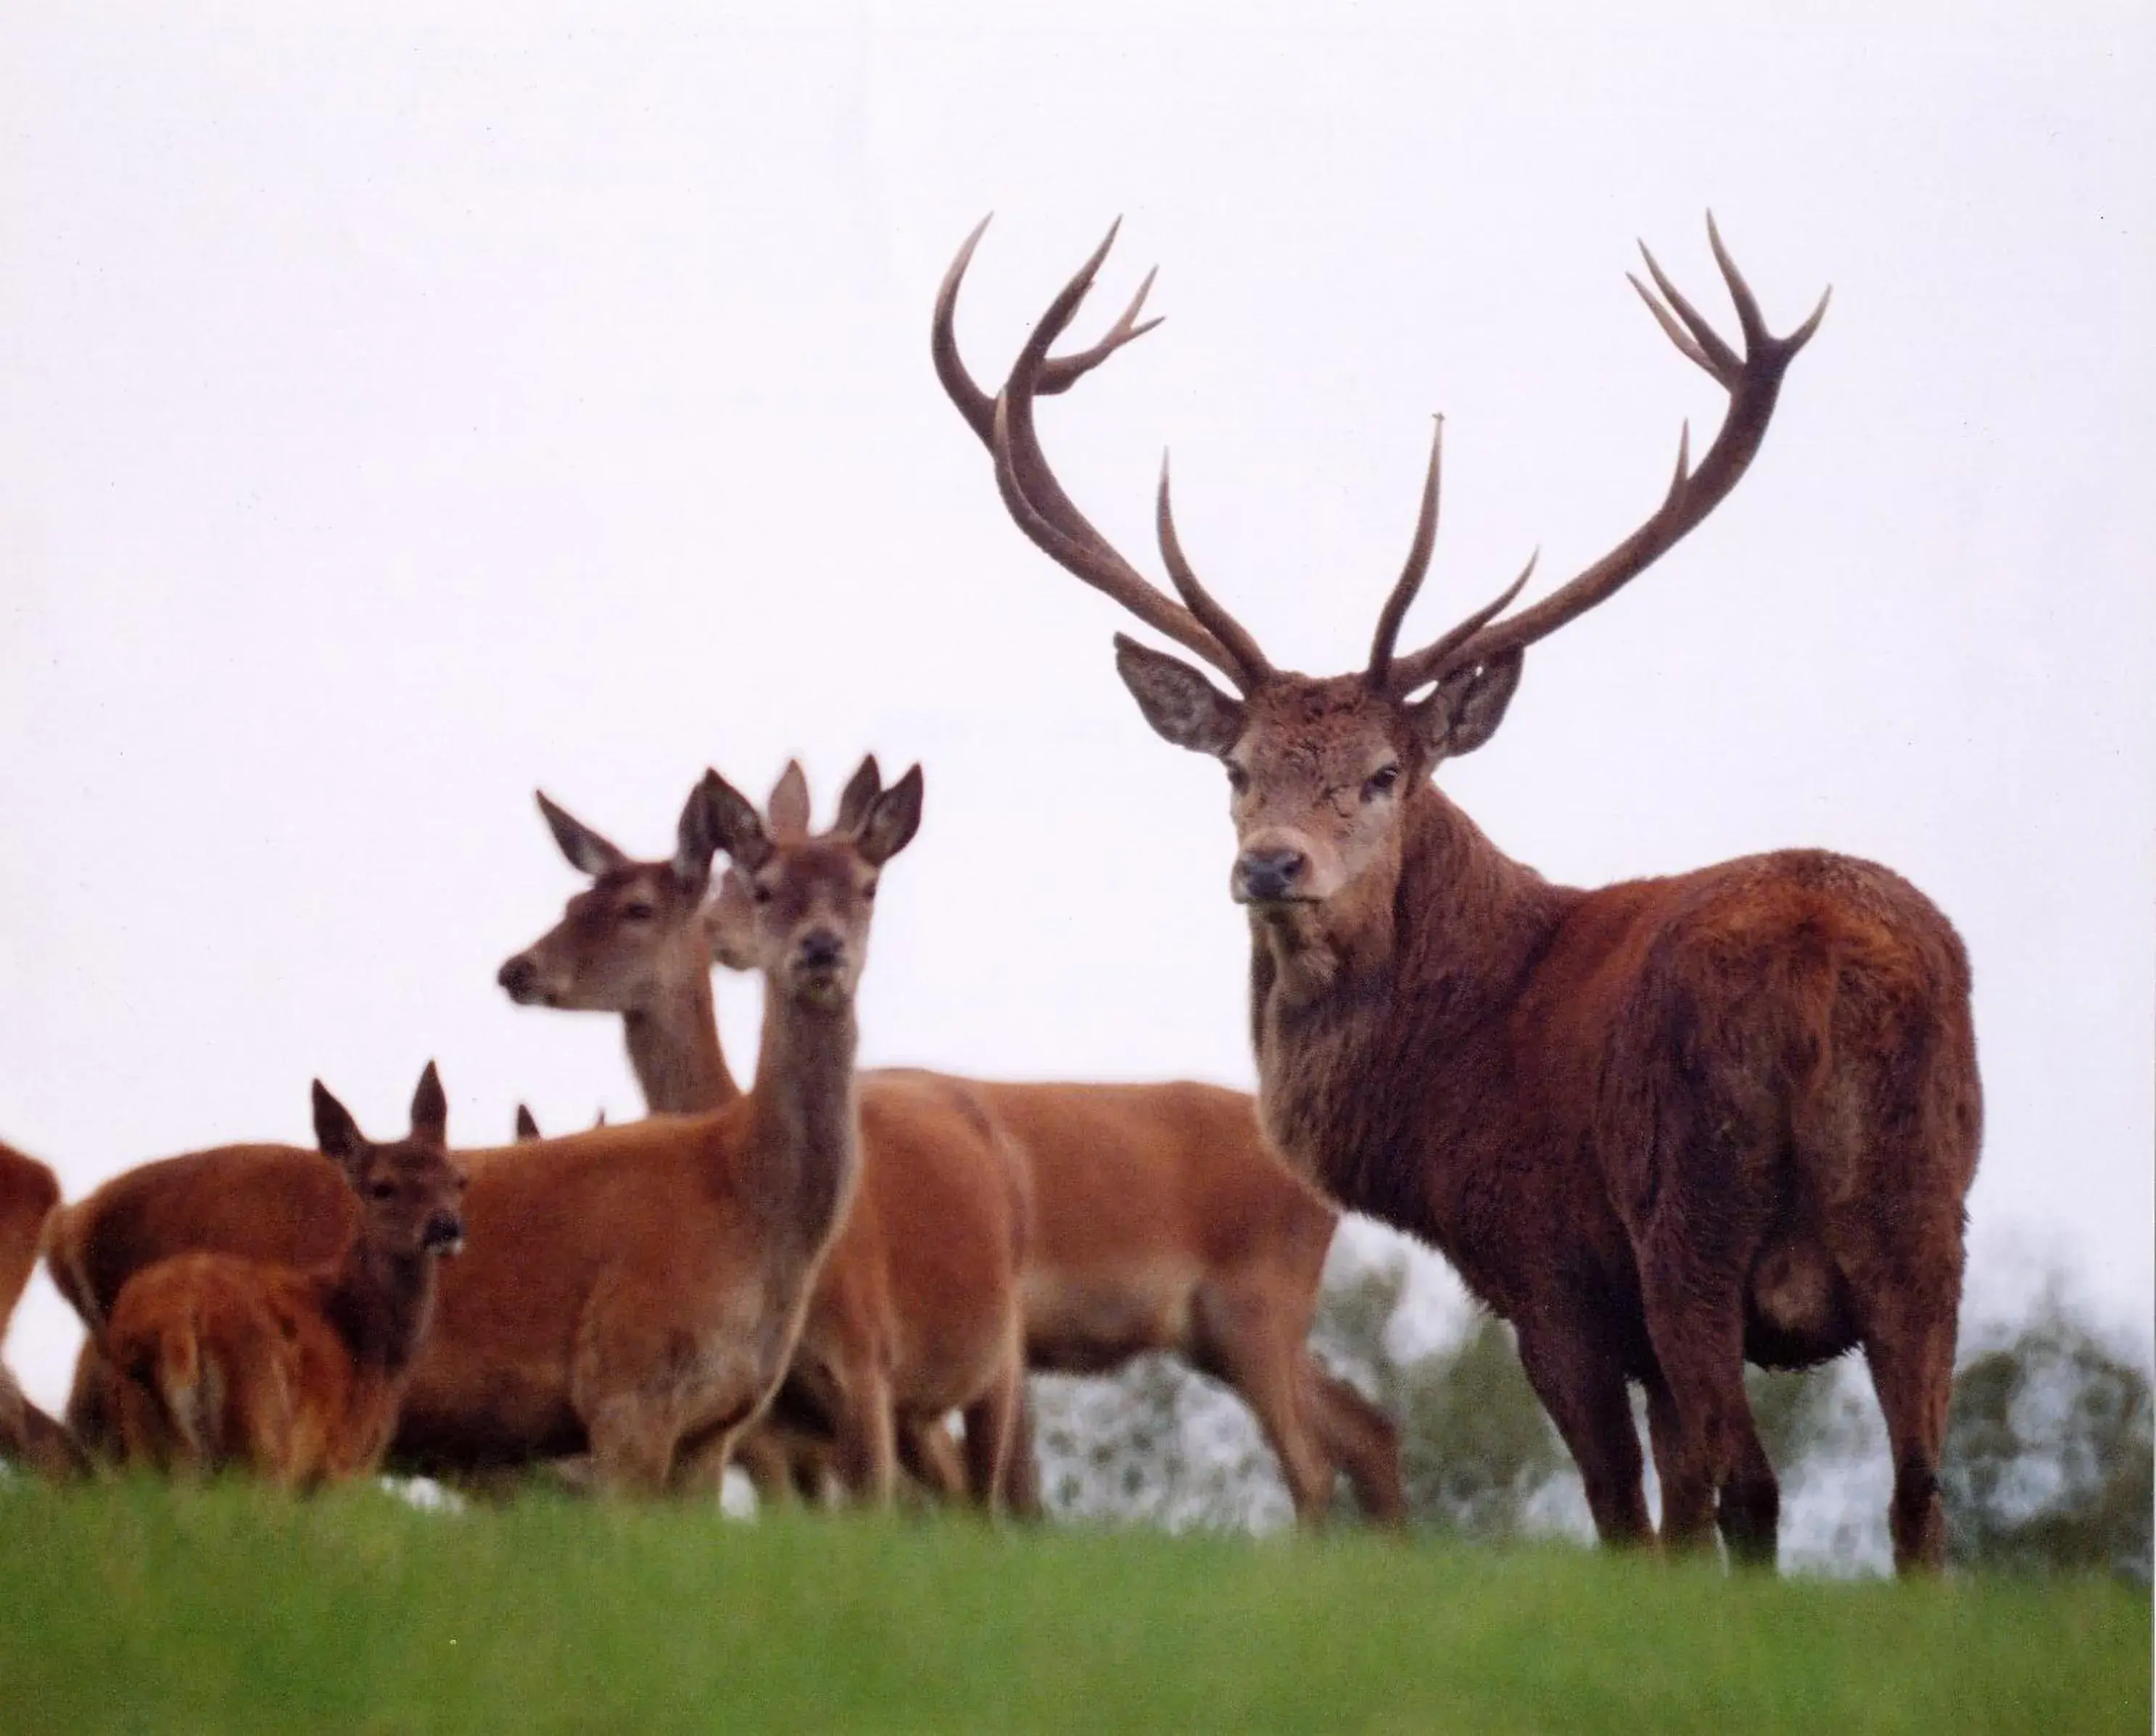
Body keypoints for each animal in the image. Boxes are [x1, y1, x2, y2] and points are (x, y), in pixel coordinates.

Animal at [104, 1065, 468, 1484]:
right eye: (382, 1187)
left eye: (460, 1180)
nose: (445, 1227)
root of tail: (176, 1319)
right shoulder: (341, 1464)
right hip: (261, 1425)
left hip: (145, 1441)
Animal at [500, 763, 1022, 1509]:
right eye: (573, 904)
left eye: (637, 908)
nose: (519, 969)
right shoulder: (763, 1421)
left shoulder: (863, 1361)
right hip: (916, 1414)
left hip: (998, 1363)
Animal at [935, 216, 1975, 1570]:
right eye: (1236, 766)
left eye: (1384, 773)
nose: (1269, 863)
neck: (1447, 1075)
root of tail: (1813, 955)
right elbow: (1680, 1512)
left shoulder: (1547, 1267)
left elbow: (1632, 1513)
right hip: (1926, 1216)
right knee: (1916, 1495)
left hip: (1686, 1214)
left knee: (1759, 1486)